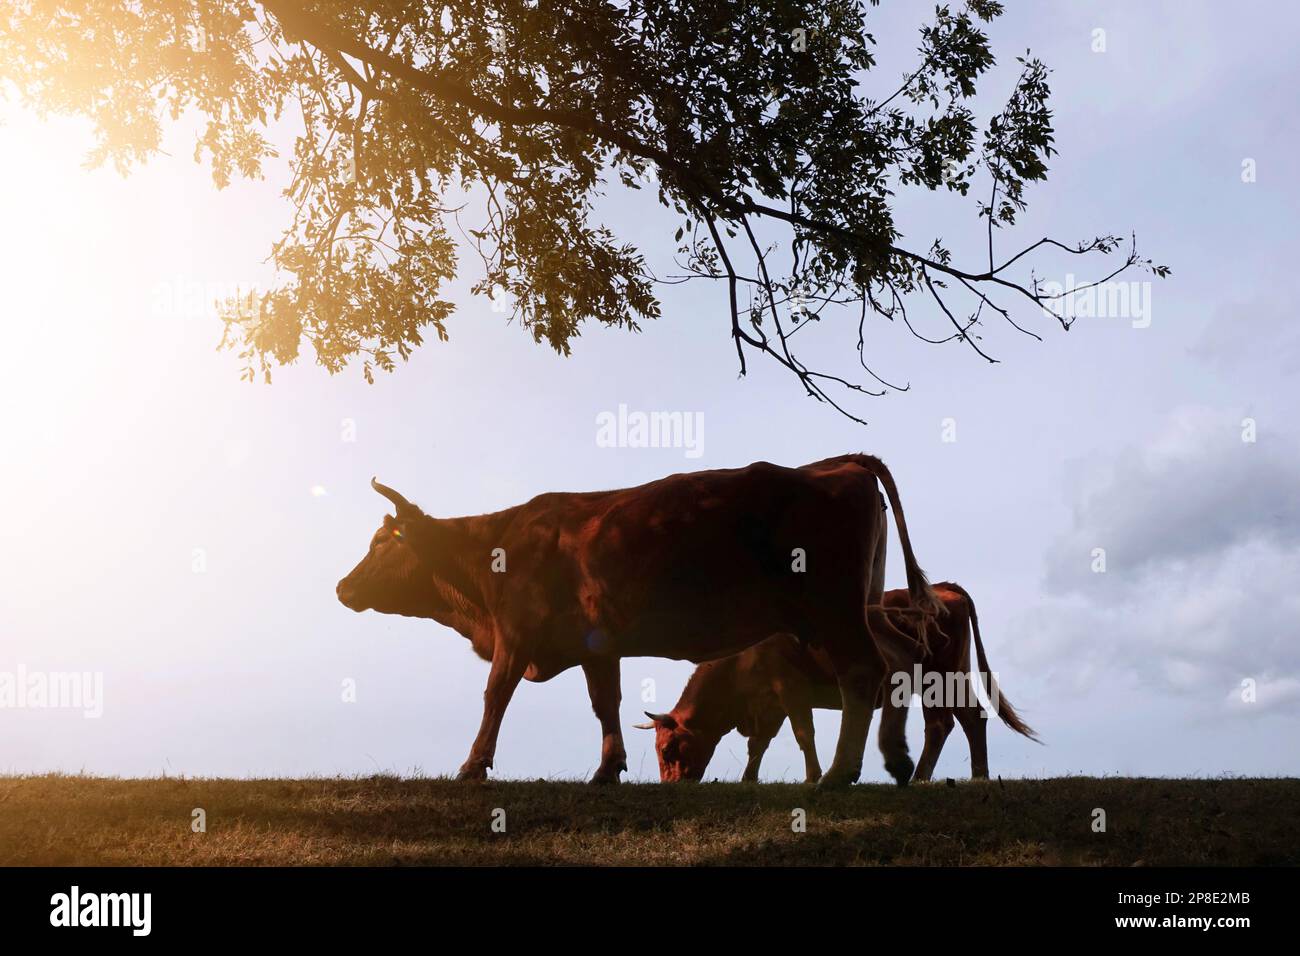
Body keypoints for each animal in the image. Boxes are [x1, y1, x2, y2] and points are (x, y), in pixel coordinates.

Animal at [332, 452, 935, 790]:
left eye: (382, 543)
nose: (341, 587)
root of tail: (840, 465)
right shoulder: (596, 645)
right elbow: (606, 703)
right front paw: (607, 768)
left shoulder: (516, 631)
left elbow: (496, 693)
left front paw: (472, 765)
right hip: (863, 607)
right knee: (894, 666)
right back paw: (895, 760)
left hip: (834, 611)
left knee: (864, 672)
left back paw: (840, 773)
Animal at [634, 582, 1040, 785]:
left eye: (668, 749)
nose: (670, 786)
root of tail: (943, 588)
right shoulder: (769, 703)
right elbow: (759, 744)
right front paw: (749, 780)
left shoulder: (790, 688)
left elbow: (803, 733)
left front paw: (813, 777)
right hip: (943, 678)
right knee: (954, 720)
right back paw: (946, 776)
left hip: (942, 674)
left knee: (959, 719)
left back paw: (964, 776)